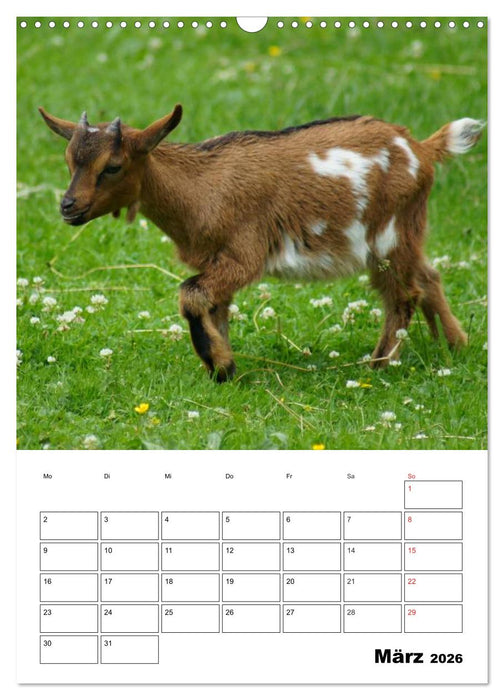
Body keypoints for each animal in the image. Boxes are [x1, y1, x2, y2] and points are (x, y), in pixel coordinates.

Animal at [39, 105, 485, 382]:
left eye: (113, 166)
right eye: (69, 161)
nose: (68, 207)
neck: (199, 189)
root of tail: (422, 149)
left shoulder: (244, 254)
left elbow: (192, 295)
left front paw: (220, 366)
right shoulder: (216, 260)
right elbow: (214, 305)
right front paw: (223, 367)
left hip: (389, 237)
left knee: (404, 294)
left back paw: (379, 365)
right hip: (406, 236)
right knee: (428, 277)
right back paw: (455, 346)